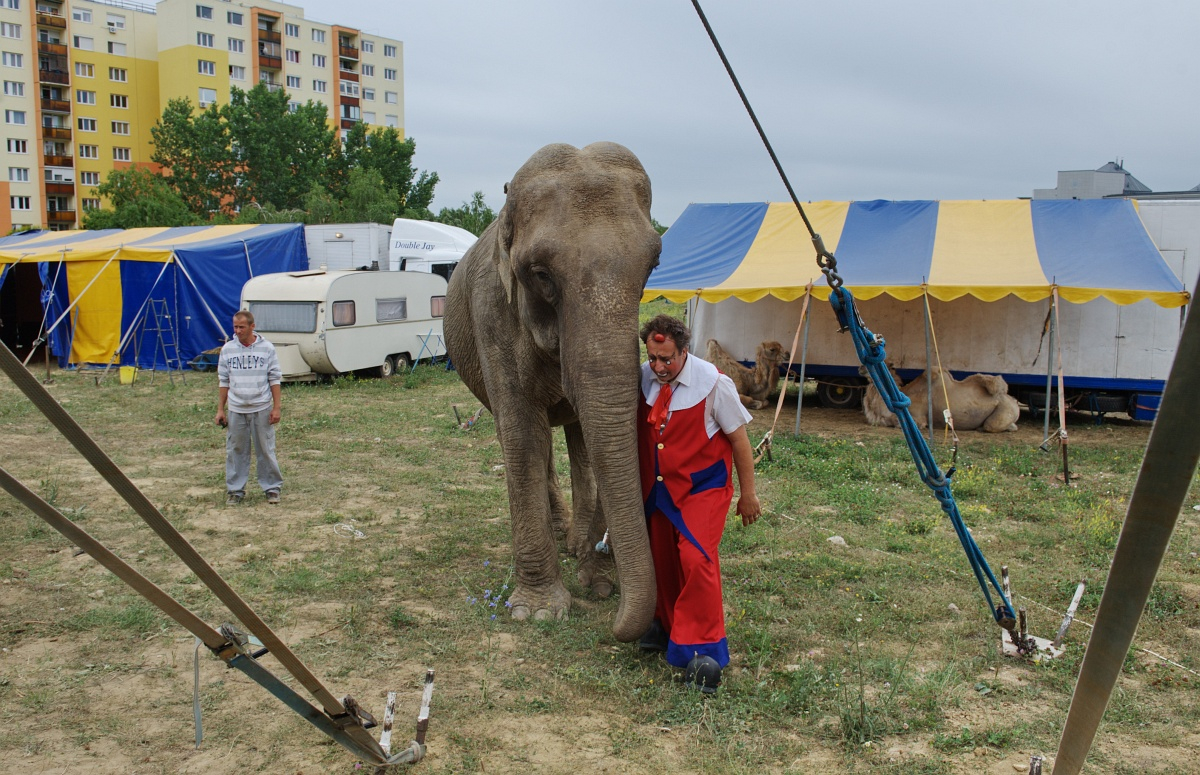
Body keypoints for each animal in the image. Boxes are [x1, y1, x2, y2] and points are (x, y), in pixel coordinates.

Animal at [444, 140, 662, 643]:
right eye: (541, 274)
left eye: (653, 266)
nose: (615, 620)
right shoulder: (491, 313)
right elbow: (523, 434)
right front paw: (539, 612)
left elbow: (595, 437)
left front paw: (594, 578)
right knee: (526, 439)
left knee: (578, 439)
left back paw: (576, 541)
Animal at [864, 367, 1022, 434]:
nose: (860, 369)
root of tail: (1013, 400)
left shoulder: (917, 417)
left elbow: (900, 423)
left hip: (1004, 409)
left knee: (991, 425)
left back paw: (981, 428)